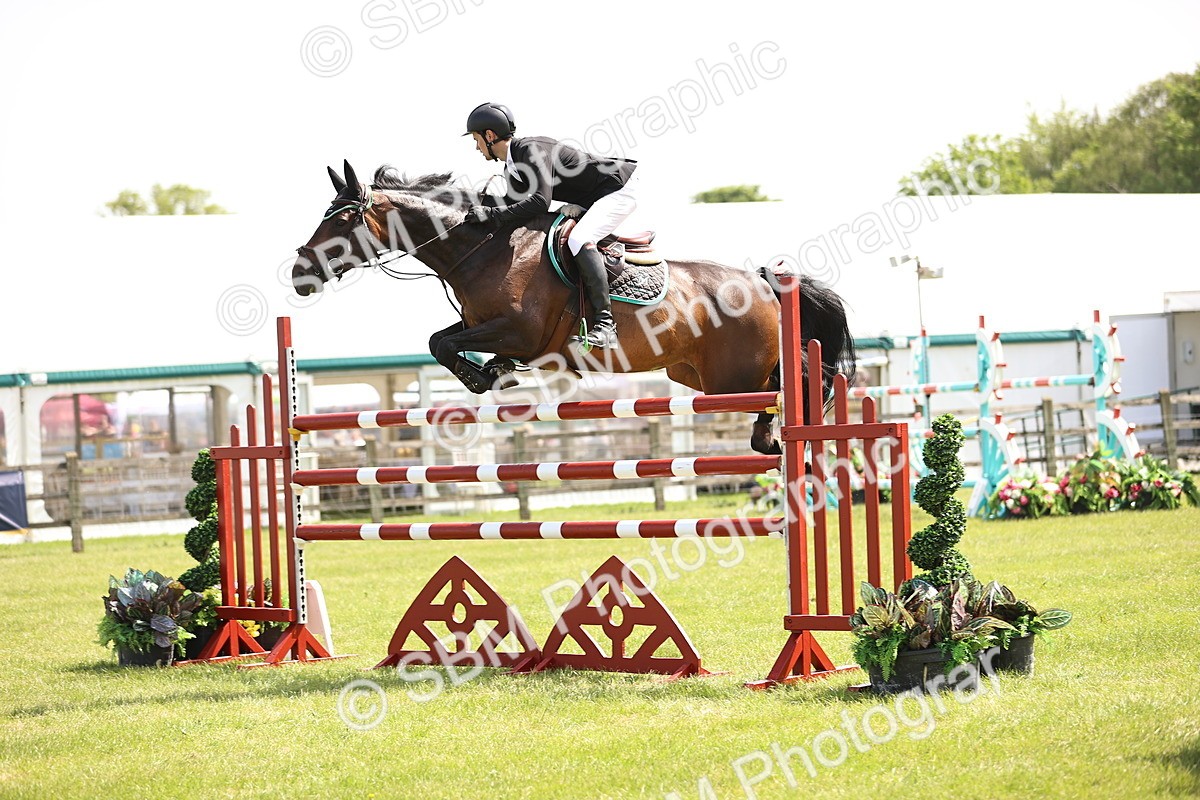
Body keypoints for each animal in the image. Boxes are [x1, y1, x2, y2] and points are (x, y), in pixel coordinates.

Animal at [291, 161, 855, 455]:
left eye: (342, 220)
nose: (298, 274)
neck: (484, 248)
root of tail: (761, 281)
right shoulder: (485, 326)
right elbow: (440, 339)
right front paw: (492, 374)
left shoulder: (519, 331)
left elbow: (446, 344)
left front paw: (485, 377)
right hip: (693, 375)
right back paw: (773, 438)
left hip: (731, 379)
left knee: (795, 382)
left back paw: (781, 437)